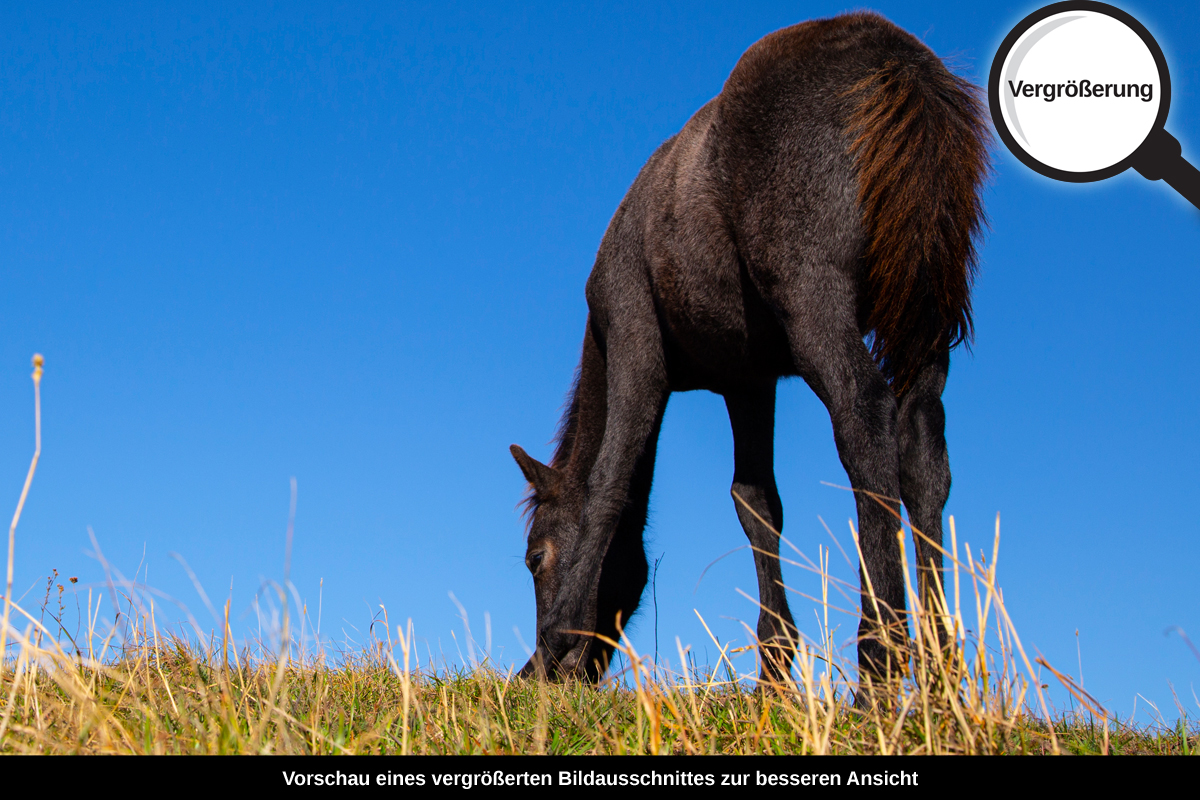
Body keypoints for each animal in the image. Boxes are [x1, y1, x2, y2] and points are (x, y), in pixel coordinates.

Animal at [511, 12, 988, 686]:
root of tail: (900, 63)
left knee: (865, 417)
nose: (549, 677)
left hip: (815, 301)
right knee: (922, 448)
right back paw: (943, 671)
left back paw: (880, 660)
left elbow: (609, 479)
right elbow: (756, 500)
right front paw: (775, 667)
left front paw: (557, 636)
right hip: (925, 321)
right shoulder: (749, 381)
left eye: (535, 557)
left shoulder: (634, 339)